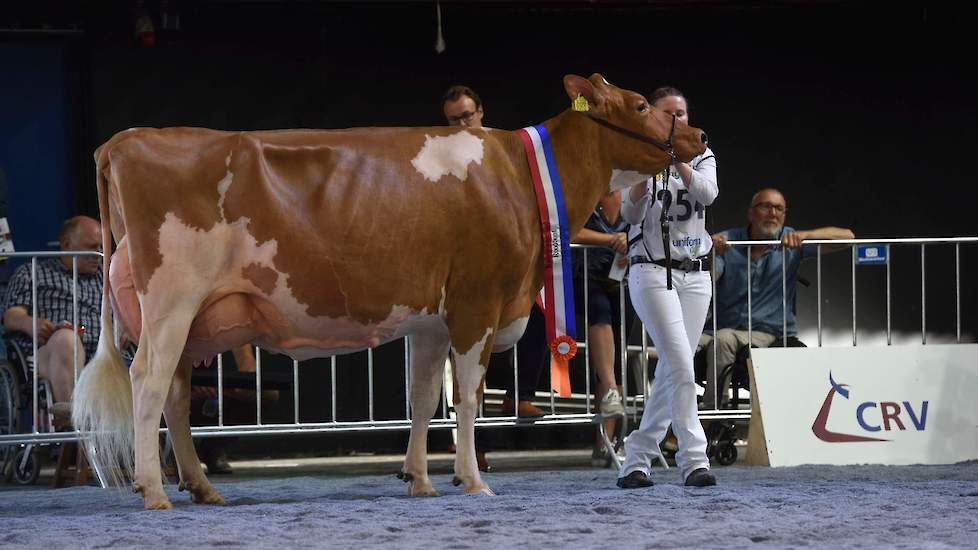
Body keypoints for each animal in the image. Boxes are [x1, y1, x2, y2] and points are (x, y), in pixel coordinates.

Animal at [74, 73, 700, 508]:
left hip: (189, 318)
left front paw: (420, 479)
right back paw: (154, 491)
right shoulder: (477, 302)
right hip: (170, 301)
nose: (696, 133)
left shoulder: (431, 318)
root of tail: (126, 140)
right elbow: (467, 398)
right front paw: (473, 480)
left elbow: (423, 399)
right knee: (148, 383)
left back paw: (201, 488)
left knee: (176, 396)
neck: (521, 176)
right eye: (640, 106)